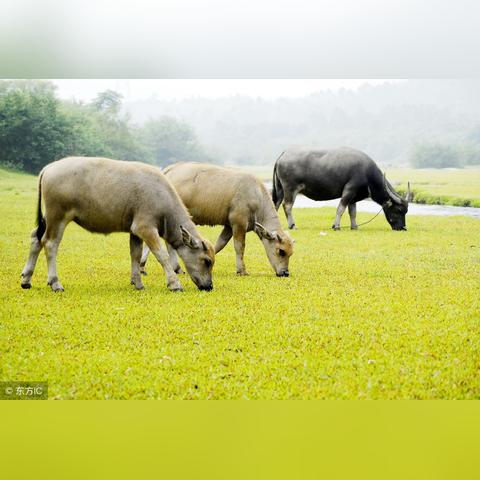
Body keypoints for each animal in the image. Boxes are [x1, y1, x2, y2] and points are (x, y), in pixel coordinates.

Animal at [20, 158, 215, 292]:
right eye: (207, 261)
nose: (209, 286)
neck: (161, 196)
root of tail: (49, 167)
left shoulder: (135, 232)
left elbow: (135, 255)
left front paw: (137, 283)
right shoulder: (145, 228)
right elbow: (162, 255)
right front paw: (174, 283)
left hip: (48, 218)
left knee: (36, 238)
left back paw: (26, 280)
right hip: (57, 217)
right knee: (50, 244)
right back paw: (55, 283)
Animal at [141, 161, 294, 276]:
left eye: (290, 253)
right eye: (281, 251)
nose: (285, 273)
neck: (256, 195)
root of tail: (169, 170)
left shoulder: (229, 227)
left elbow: (219, 244)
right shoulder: (239, 224)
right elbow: (239, 247)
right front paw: (241, 270)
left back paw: (143, 266)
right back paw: (175, 267)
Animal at [272, 147, 410, 232]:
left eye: (406, 211)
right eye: (398, 210)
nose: (403, 228)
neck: (367, 173)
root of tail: (283, 155)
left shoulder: (354, 197)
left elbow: (352, 212)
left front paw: (354, 227)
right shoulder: (349, 190)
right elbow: (341, 208)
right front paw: (336, 226)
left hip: (280, 189)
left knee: (275, 204)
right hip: (290, 189)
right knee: (287, 205)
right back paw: (292, 225)